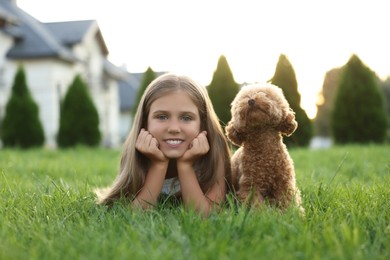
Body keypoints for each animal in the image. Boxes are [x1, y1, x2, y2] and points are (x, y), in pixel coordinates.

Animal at [225, 83, 304, 213]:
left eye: (265, 95)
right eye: (244, 97)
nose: (251, 100)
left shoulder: (284, 183)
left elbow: (288, 202)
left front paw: (293, 214)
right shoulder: (251, 185)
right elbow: (256, 206)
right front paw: (261, 215)